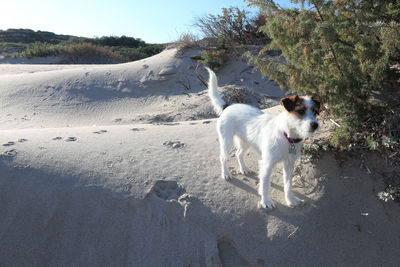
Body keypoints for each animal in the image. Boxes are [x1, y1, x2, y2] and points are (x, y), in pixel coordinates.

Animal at [208, 67, 320, 209]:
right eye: (300, 111)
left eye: (315, 112)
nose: (315, 125)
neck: (286, 136)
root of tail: (227, 106)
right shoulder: (266, 164)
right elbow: (265, 185)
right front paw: (266, 201)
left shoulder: (289, 164)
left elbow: (287, 185)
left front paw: (290, 199)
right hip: (226, 141)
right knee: (223, 157)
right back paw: (226, 174)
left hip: (245, 142)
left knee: (239, 154)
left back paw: (243, 169)